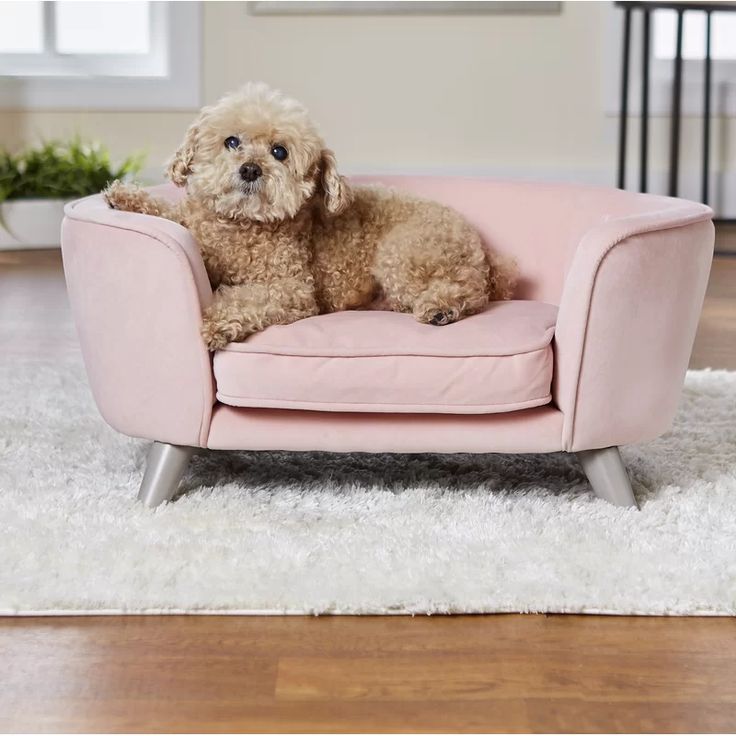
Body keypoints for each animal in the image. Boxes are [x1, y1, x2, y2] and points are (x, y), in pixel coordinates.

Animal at [105, 80, 516, 350]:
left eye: (279, 152)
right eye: (231, 142)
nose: (250, 169)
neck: (241, 226)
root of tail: (482, 249)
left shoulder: (293, 289)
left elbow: (246, 300)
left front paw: (216, 324)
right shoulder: (199, 226)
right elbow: (175, 214)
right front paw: (125, 197)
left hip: (402, 254)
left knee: (471, 293)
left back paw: (441, 308)